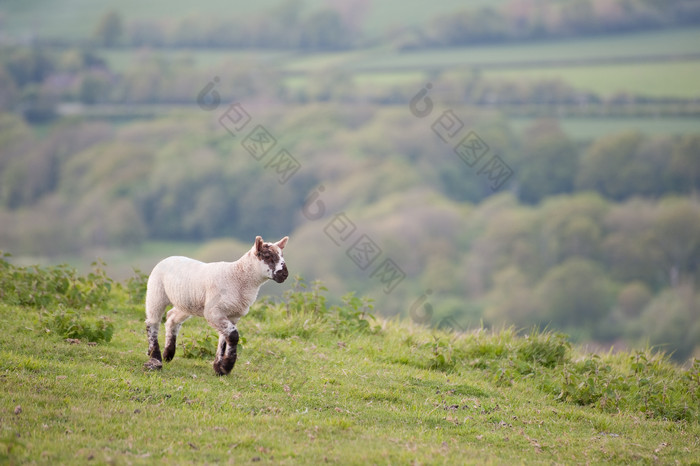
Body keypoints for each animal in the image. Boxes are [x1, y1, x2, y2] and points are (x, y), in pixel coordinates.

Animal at [144, 237, 288, 374]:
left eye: (282, 255)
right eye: (267, 256)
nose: (285, 274)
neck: (238, 277)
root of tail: (168, 258)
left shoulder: (232, 315)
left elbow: (225, 338)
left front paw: (219, 367)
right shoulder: (213, 312)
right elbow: (233, 335)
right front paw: (227, 366)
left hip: (187, 304)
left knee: (171, 318)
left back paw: (168, 354)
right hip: (156, 292)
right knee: (152, 322)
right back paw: (155, 356)